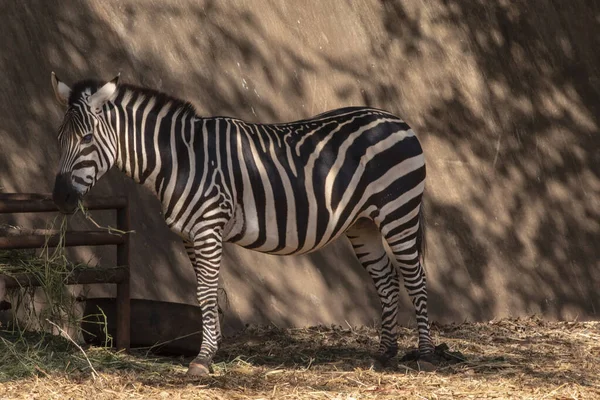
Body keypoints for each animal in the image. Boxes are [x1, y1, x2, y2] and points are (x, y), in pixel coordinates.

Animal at [50, 72, 436, 376]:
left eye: (87, 139)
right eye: (59, 139)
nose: (60, 198)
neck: (180, 160)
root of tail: (396, 120)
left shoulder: (208, 228)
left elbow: (206, 292)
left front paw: (202, 359)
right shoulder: (190, 235)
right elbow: (204, 293)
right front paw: (211, 350)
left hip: (398, 212)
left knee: (415, 278)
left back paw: (426, 356)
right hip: (363, 223)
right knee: (387, 279)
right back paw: (384, 354)